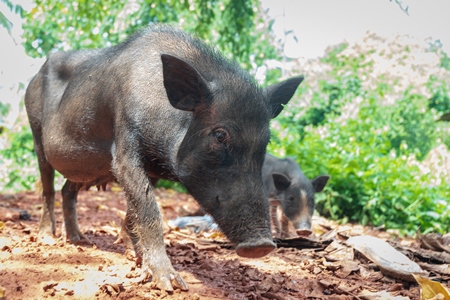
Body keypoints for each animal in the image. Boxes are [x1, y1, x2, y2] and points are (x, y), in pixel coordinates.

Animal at [25, 24, 302, 292]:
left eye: (265, 141)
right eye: (220, 135)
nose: (263, 244)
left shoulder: (153, 168)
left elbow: (135, 208)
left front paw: (133, 254)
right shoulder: (124, 147)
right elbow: (148, 208)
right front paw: (170, 284)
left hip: (84, 169)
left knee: (67, 190)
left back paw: (79, 239)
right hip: (35, 131)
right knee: (48, 187)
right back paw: (48, 238)